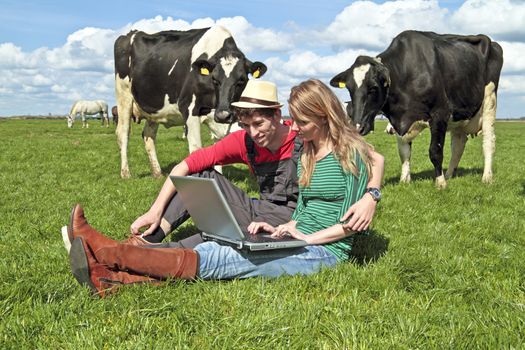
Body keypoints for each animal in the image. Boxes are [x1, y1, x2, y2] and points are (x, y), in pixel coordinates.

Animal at [112, 25, 264, 178]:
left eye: (241, 80)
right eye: (214, 79)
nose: (223, 115)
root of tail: (131, 33)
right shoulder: (189, 109)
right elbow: (196, 150)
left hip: (154, 108)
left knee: (148, 135)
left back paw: (157, 173)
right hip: (123, 95)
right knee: (123, 133)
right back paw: (126, 173)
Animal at [332, 30, 504, 189]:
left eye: (373, 88)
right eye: (349, 89)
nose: (357, 127)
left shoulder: (440, 113)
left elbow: (435, 151)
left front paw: (440, 182)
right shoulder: (399, 120)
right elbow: (404, 152)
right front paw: (404, 180)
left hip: (489, 101)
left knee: (489, 141)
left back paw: (486, 177)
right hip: (460, 114)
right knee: (458, 145)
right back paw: (449, 174)